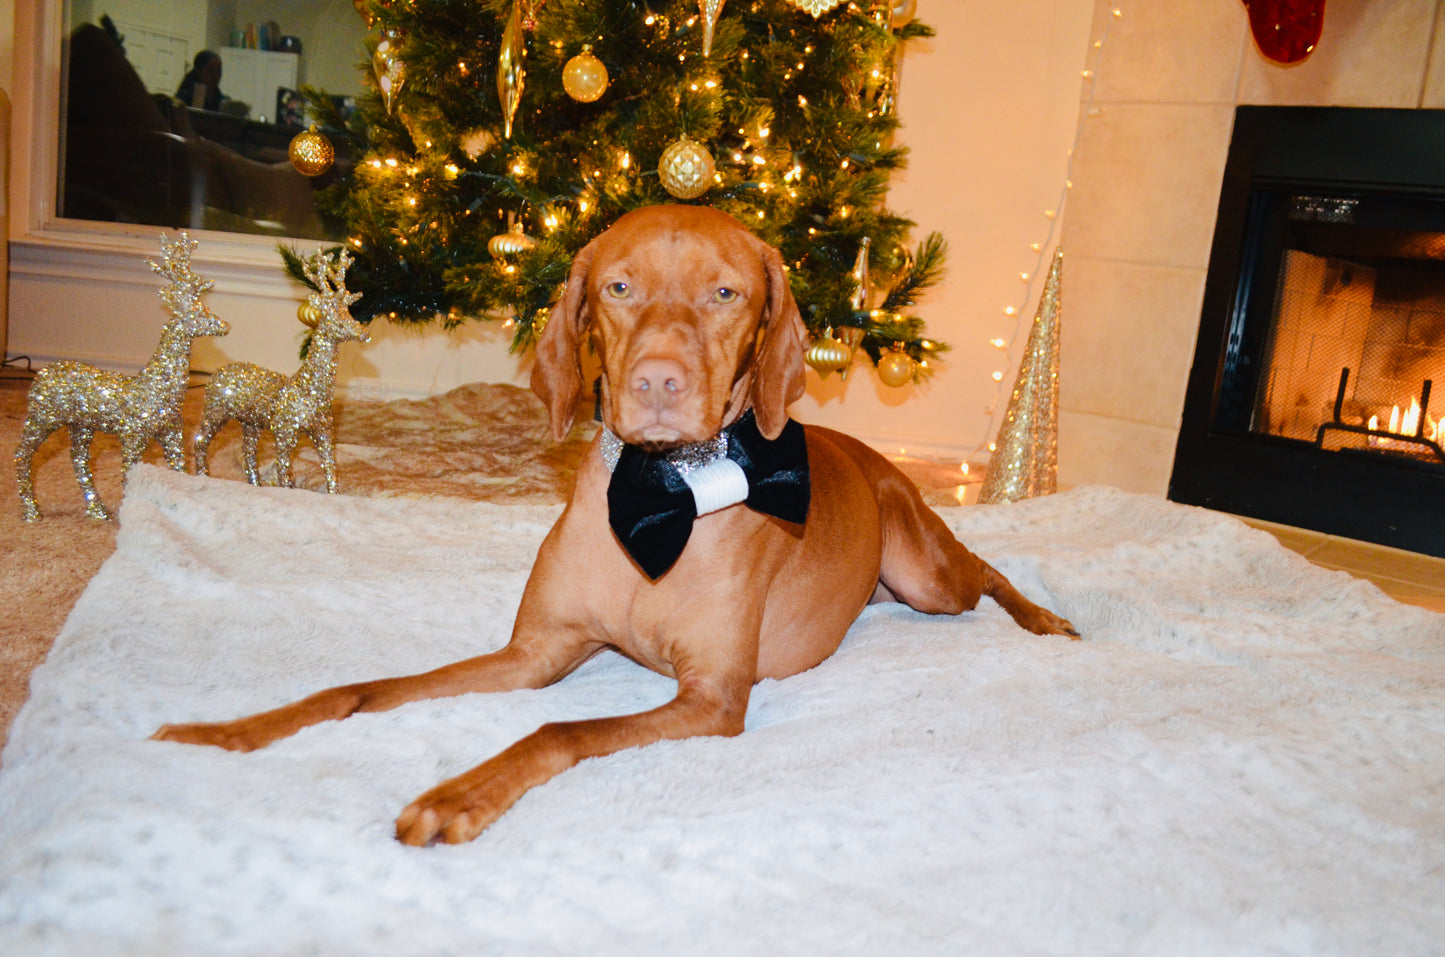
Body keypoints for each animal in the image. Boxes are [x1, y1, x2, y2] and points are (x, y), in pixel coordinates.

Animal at [152, 203, 1080, 850]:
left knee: (986, 570)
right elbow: (357, 689)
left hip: (927, 576)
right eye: (618, 287)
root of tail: (867, 451)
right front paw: (227, 731)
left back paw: (1049, 618)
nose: (658, 382)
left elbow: (558, 728)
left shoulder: (712, 697)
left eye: (725, 292)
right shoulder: (536, 652)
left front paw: (457, 794)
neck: (660, 492)